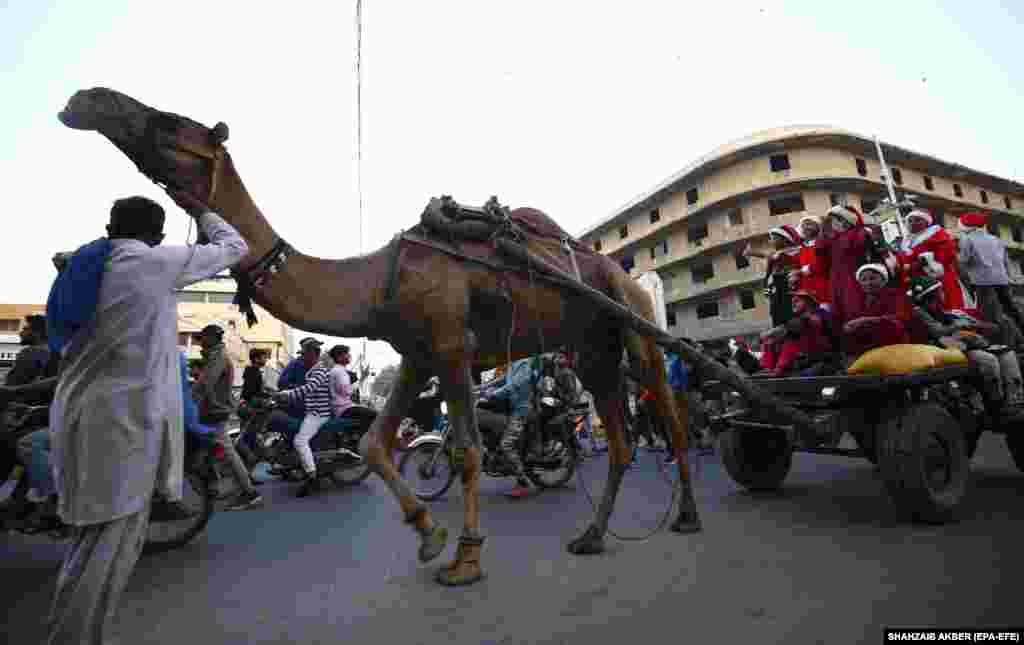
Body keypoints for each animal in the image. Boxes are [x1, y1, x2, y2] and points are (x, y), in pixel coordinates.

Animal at [58, 88, 704, 589]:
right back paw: (592, 535)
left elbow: (467, 449)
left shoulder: (451, 348)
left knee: (670, 418)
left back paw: (688, 518)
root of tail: (620, 273)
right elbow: (373, 445)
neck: (376, 280)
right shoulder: (417, 354)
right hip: (593, 348)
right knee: (619, 440)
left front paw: (466, 559)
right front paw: (430, 536)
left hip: (635, 318)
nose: (83, 101)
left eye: (169, 121)